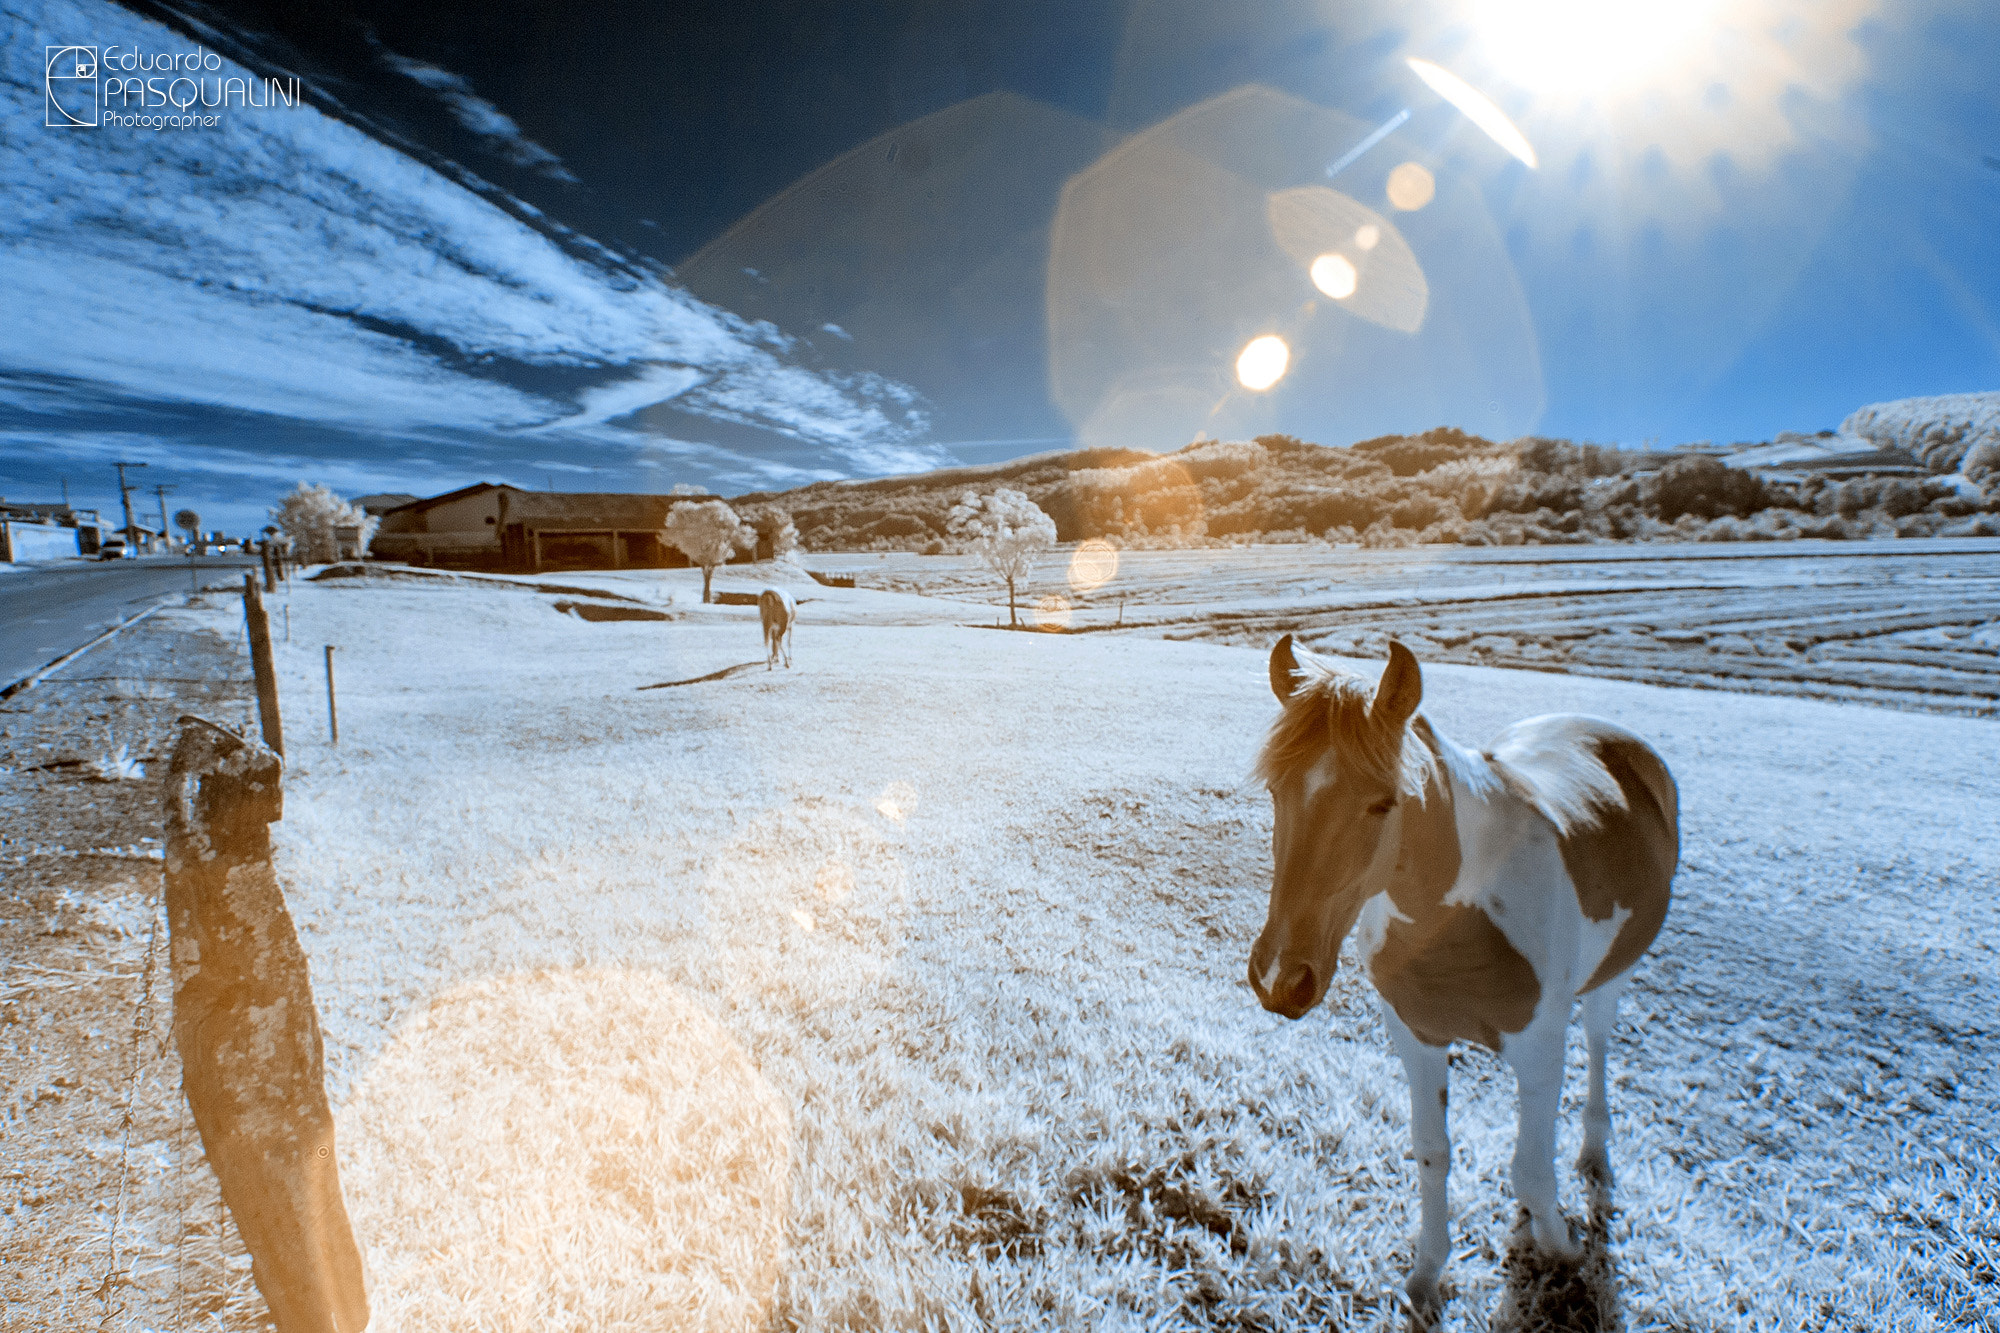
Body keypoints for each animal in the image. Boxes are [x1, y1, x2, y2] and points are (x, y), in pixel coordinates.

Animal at [1247, 635, 1676, 1319]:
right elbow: (1432, 1152)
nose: (1280, 978)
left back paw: (1593, 1154)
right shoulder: (1416, 1037)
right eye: (1274, 790)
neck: (1458, 908)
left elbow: (1531, 1169)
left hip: (1611, 979)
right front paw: (1426, 1274)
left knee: (1600, 1044)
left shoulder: (1541, 1047)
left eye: (1383, 801)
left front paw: (1563, 1254)